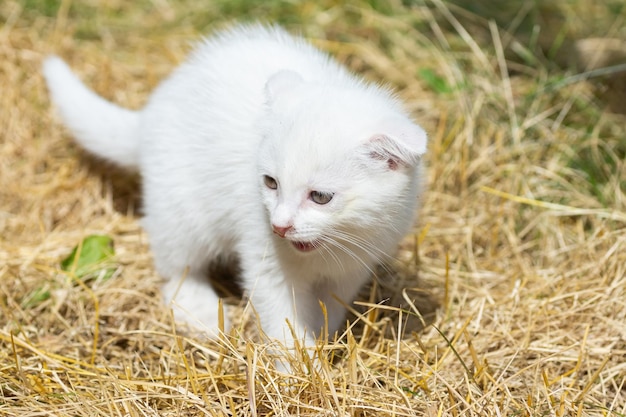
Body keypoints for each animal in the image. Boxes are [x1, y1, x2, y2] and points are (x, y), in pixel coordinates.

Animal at [42, 24, 424, 346]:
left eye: (320, 197)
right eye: (270, 183)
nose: (280, 226)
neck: (333, 245)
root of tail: (150, 114)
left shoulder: (355, 265)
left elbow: (328, 308)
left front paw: (322, 341)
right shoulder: (264, 258)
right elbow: (284, 320)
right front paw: (301, 371)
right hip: (181, 209)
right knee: (176, 270)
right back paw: (202, 311)